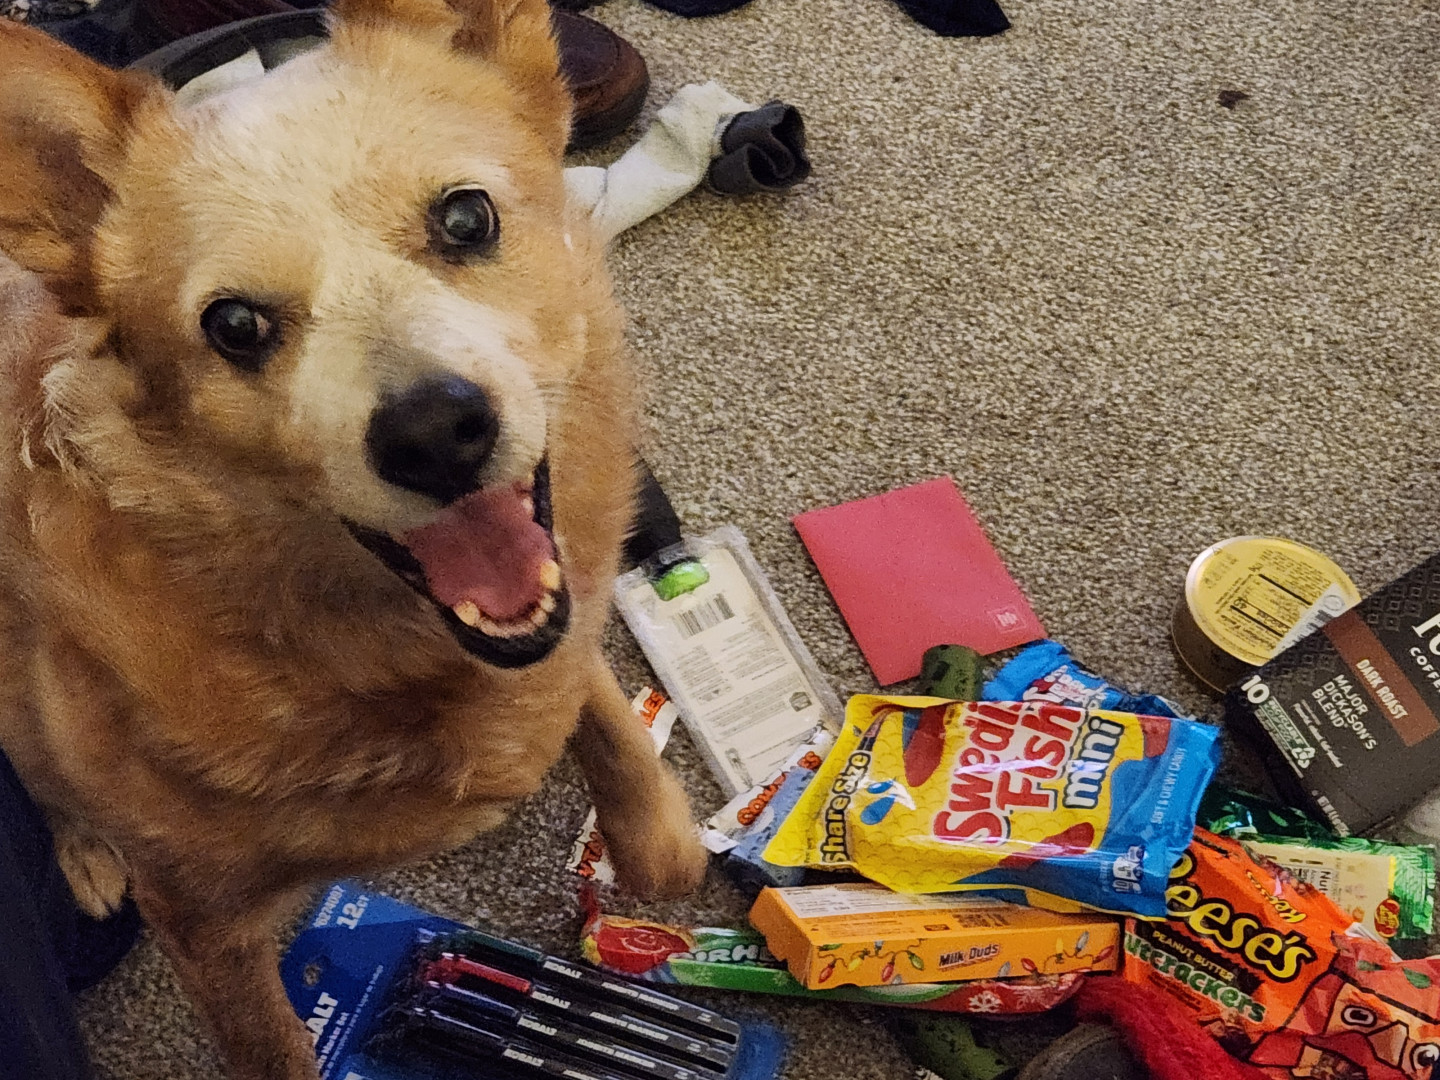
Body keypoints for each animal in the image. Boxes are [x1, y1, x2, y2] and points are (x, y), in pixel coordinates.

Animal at [0, 2, 708, 1076]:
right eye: (235, 325)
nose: (434, 433)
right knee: (49, 785)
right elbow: (271, 1048)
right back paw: (84, 850)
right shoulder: (205, 927)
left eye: (466, 219)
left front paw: (652, 828)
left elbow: (645, 798)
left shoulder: (562, 611)